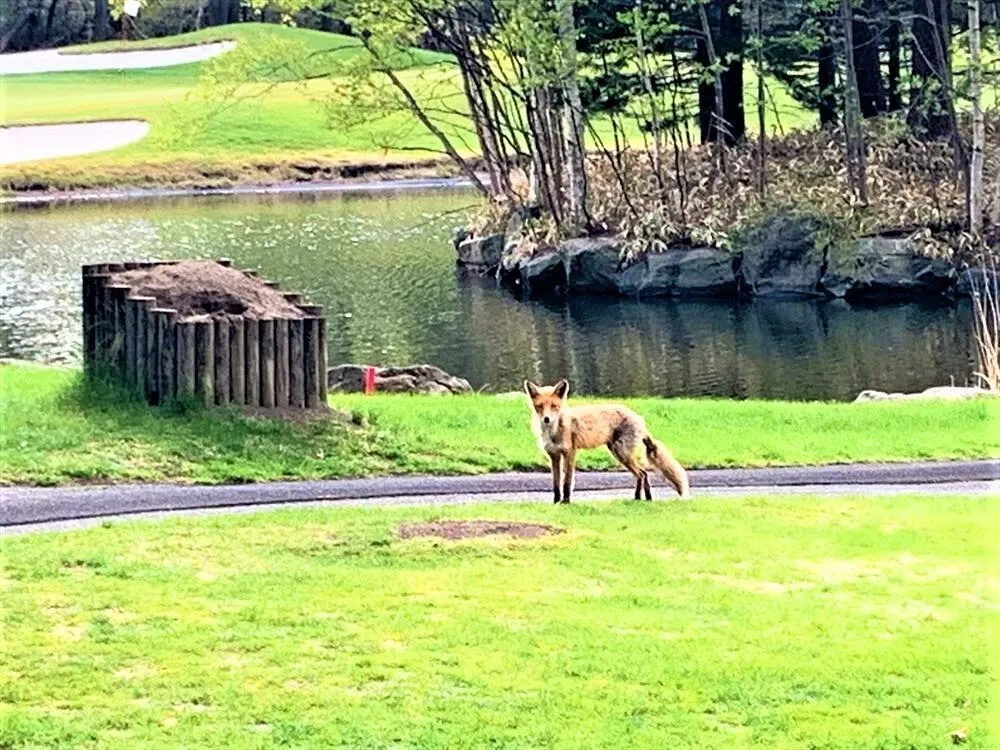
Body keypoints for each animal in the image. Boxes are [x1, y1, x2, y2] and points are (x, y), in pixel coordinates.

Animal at [524, 382, 688, 506]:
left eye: (554, 406)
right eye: (539, 406)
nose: (546, 419)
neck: (554, 431)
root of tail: (639, 418)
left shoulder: (570, 453)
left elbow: (567, 482)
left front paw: (565, 502)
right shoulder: (554, 456)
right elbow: (556, 483)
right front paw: (556, 502)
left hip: (622, 453)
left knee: (642, 473)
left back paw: (645, 498)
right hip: (618, 453)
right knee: (642, 474)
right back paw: (640, 498)